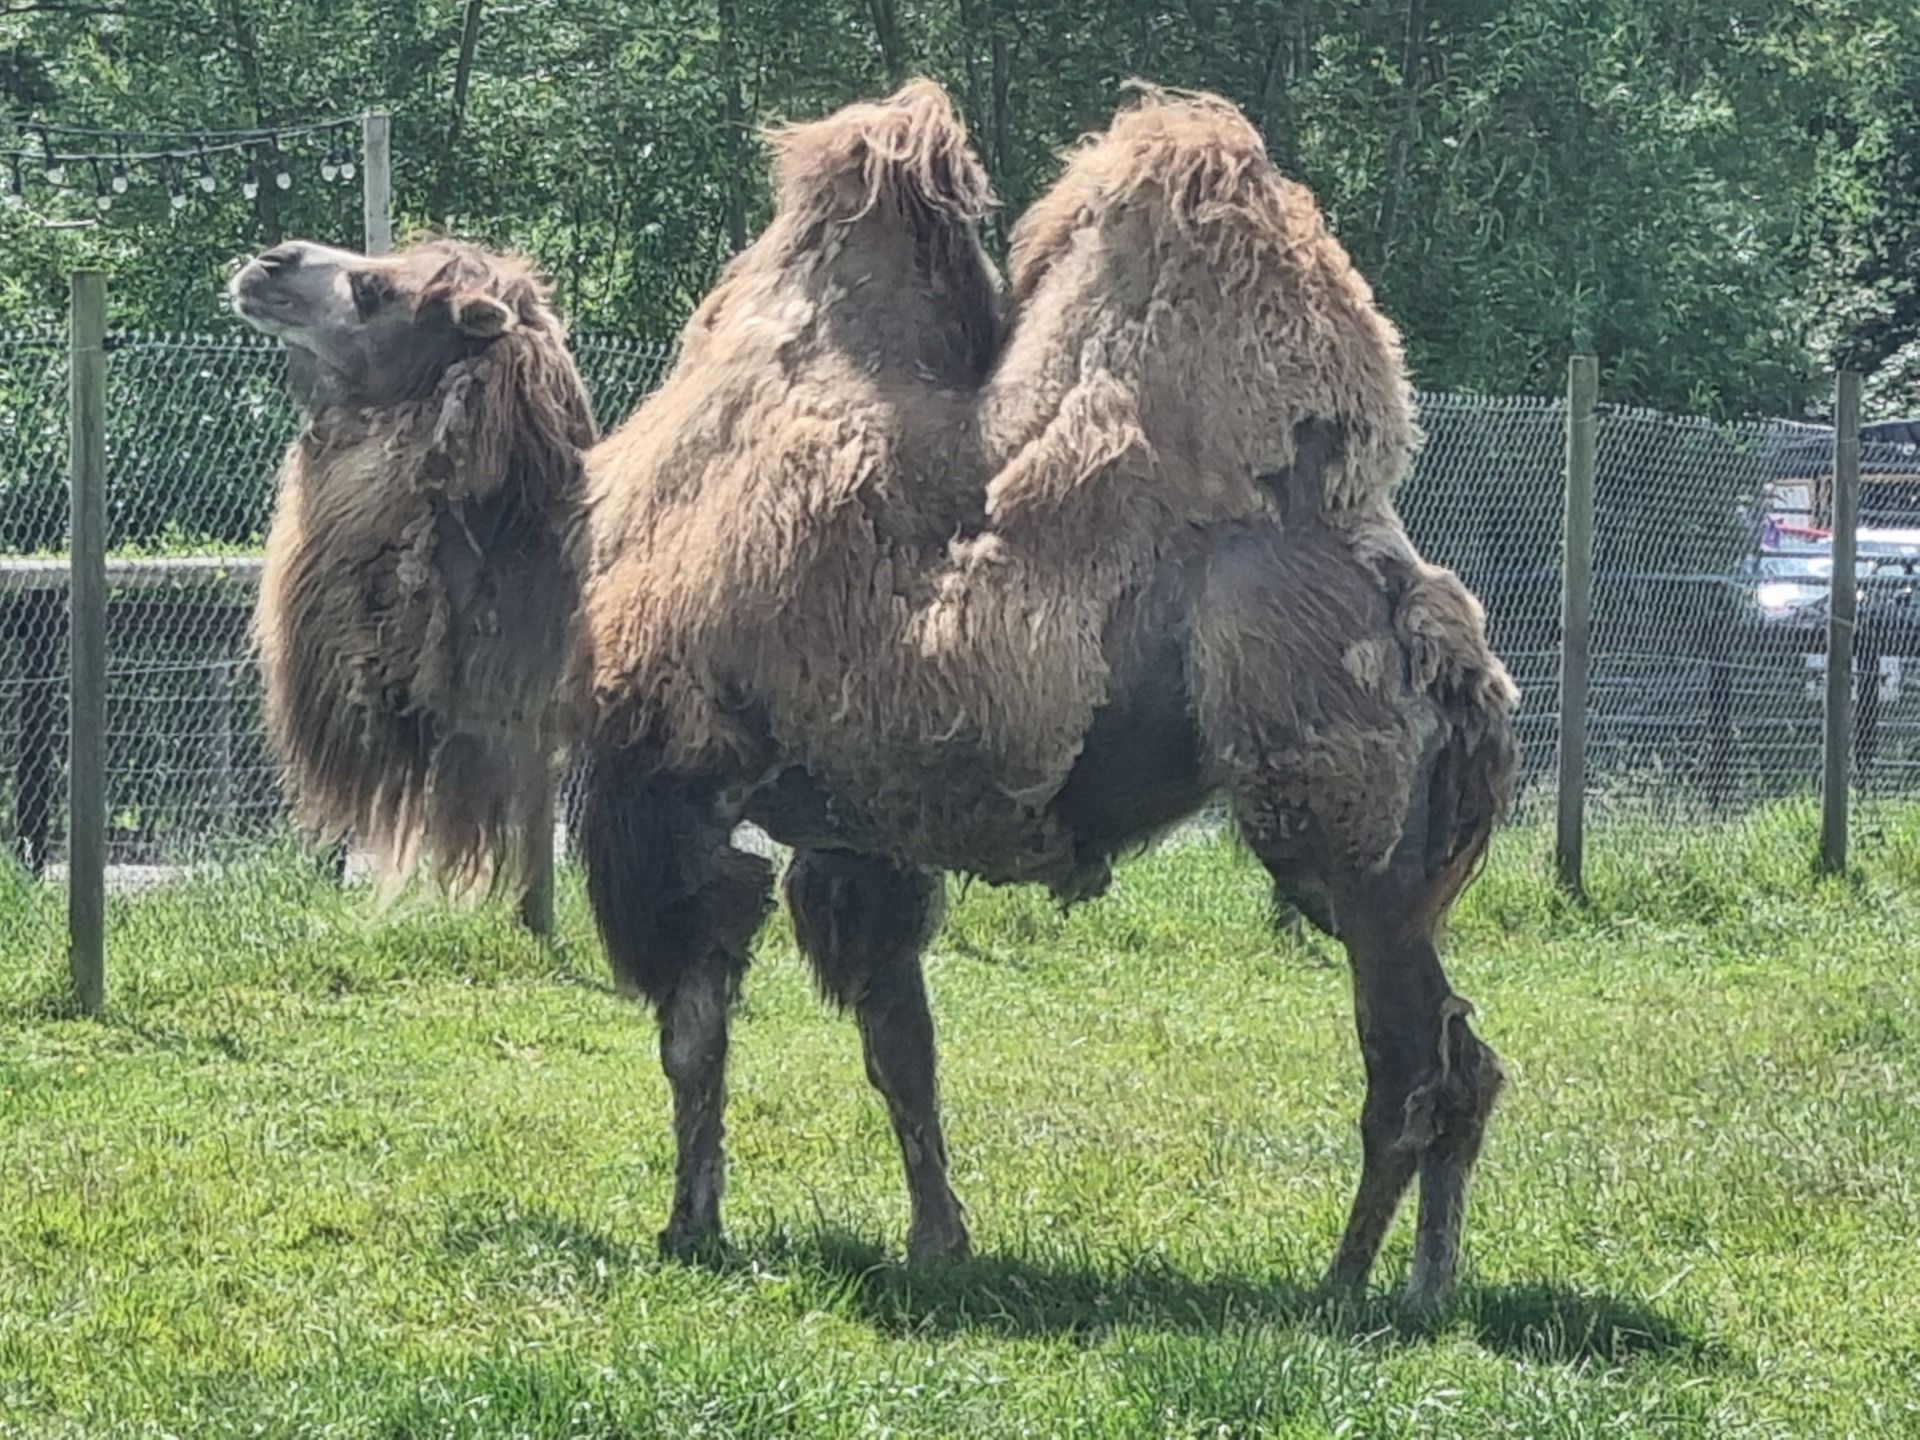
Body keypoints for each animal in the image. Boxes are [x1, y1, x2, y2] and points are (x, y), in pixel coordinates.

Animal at [230, 79, 1518, 1311]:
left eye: (381, 291)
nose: (268, 261)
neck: (574, 573)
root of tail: (1429, 621)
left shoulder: (673, 789)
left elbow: (691, 1031)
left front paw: (689, 1228)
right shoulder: (856, 833)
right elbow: (904, 1049)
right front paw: (937, 1242)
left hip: (1342, 842)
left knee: (1411, 1069)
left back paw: (1344, 1286)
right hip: (1390, 868)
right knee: (1469, 1057)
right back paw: (1427, 1285)